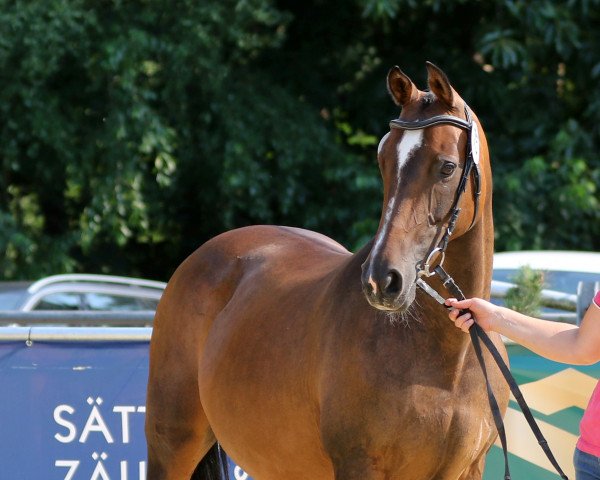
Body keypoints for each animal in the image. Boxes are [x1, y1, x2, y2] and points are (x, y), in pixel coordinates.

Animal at [145, 61, 506, 480]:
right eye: (383, 160)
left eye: (447, 167)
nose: (381, 280)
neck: (449, 363)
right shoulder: (358, 465)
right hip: (172, 445)